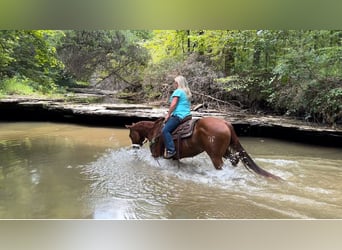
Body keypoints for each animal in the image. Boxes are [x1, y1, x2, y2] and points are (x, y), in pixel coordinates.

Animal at [125, 116, 280, 181]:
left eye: (130, 134)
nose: (134, 148)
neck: (154, 131)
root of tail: (225, 123)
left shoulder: (157, 155)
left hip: (215, 156)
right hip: (225, 152)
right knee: (234, 160)